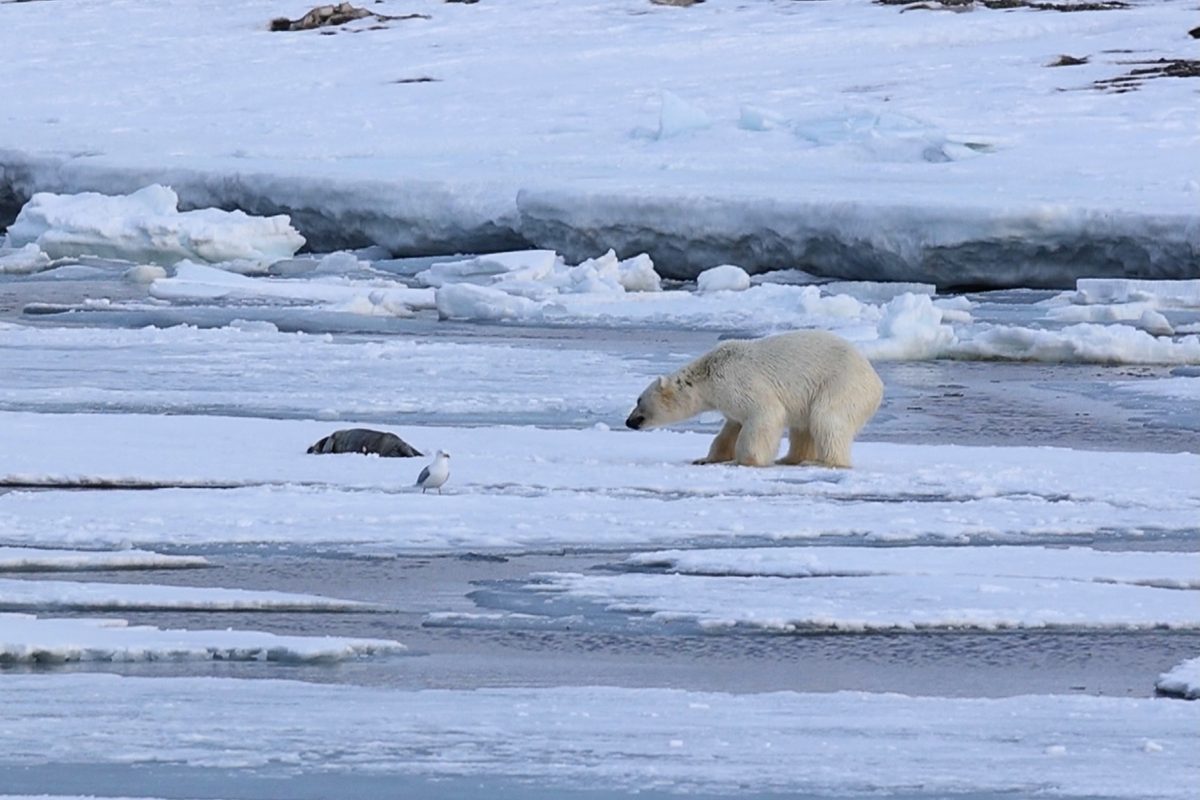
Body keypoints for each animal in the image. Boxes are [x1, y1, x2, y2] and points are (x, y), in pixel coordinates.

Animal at [624, 330, 883, 468]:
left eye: (638, 400)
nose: (629, 421)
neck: (708, 373)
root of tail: (876, 381)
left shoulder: (739, 382)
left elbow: (764, 415)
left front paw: (743, 461)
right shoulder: (728, 402)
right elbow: (730, 429)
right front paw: (705, 459)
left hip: (839, 385)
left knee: (826, 419)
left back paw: (821, 462)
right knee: (804, 427)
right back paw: (789, 459)